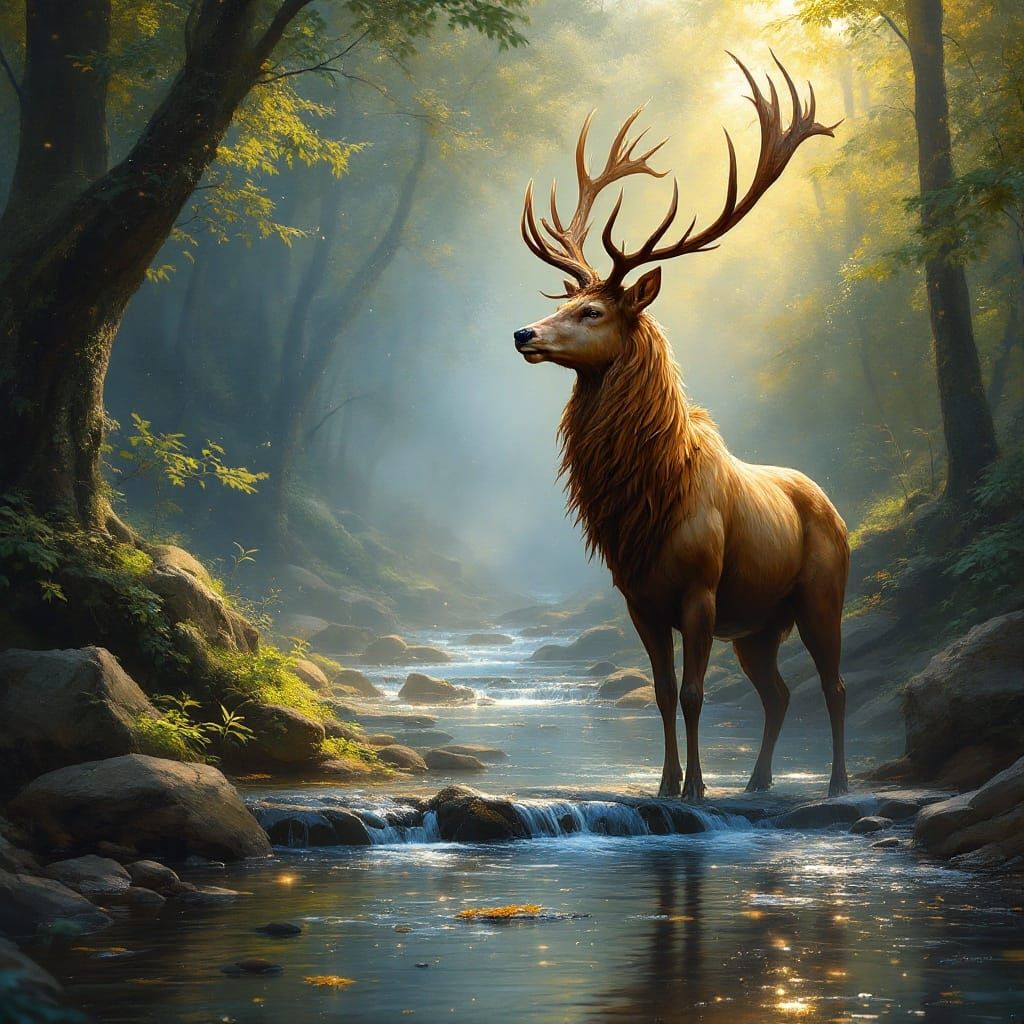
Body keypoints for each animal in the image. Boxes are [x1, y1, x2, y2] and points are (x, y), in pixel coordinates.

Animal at [514, 54, 849, 802]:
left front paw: (696, 788)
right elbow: (664, 694)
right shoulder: (640, 600)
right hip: (758, 625)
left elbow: (695, 694)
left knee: (834, 685)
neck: (651, 498)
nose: (523, 333)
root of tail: (834, 505)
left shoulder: (700, 590)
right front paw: (665, 786)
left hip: (822, 595)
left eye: (593, 312)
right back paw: (756, 782)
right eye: (567, 301)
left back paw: (839, 784)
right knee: (778, 691)